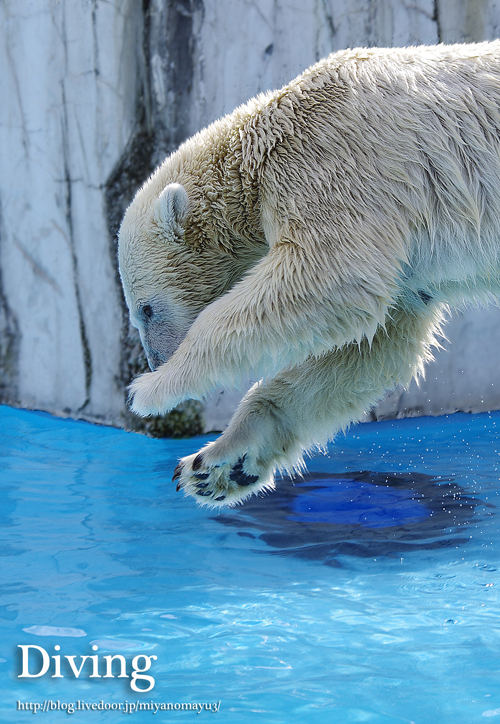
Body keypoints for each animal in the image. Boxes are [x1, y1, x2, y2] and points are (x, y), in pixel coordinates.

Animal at [118, 42, 500, 506]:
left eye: (146, 309)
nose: (156, 360)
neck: (254, 149)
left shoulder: (331, 159)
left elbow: (332, 275)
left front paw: (151, 389)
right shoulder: (406, 265)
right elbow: (369, 349)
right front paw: (214, 466)